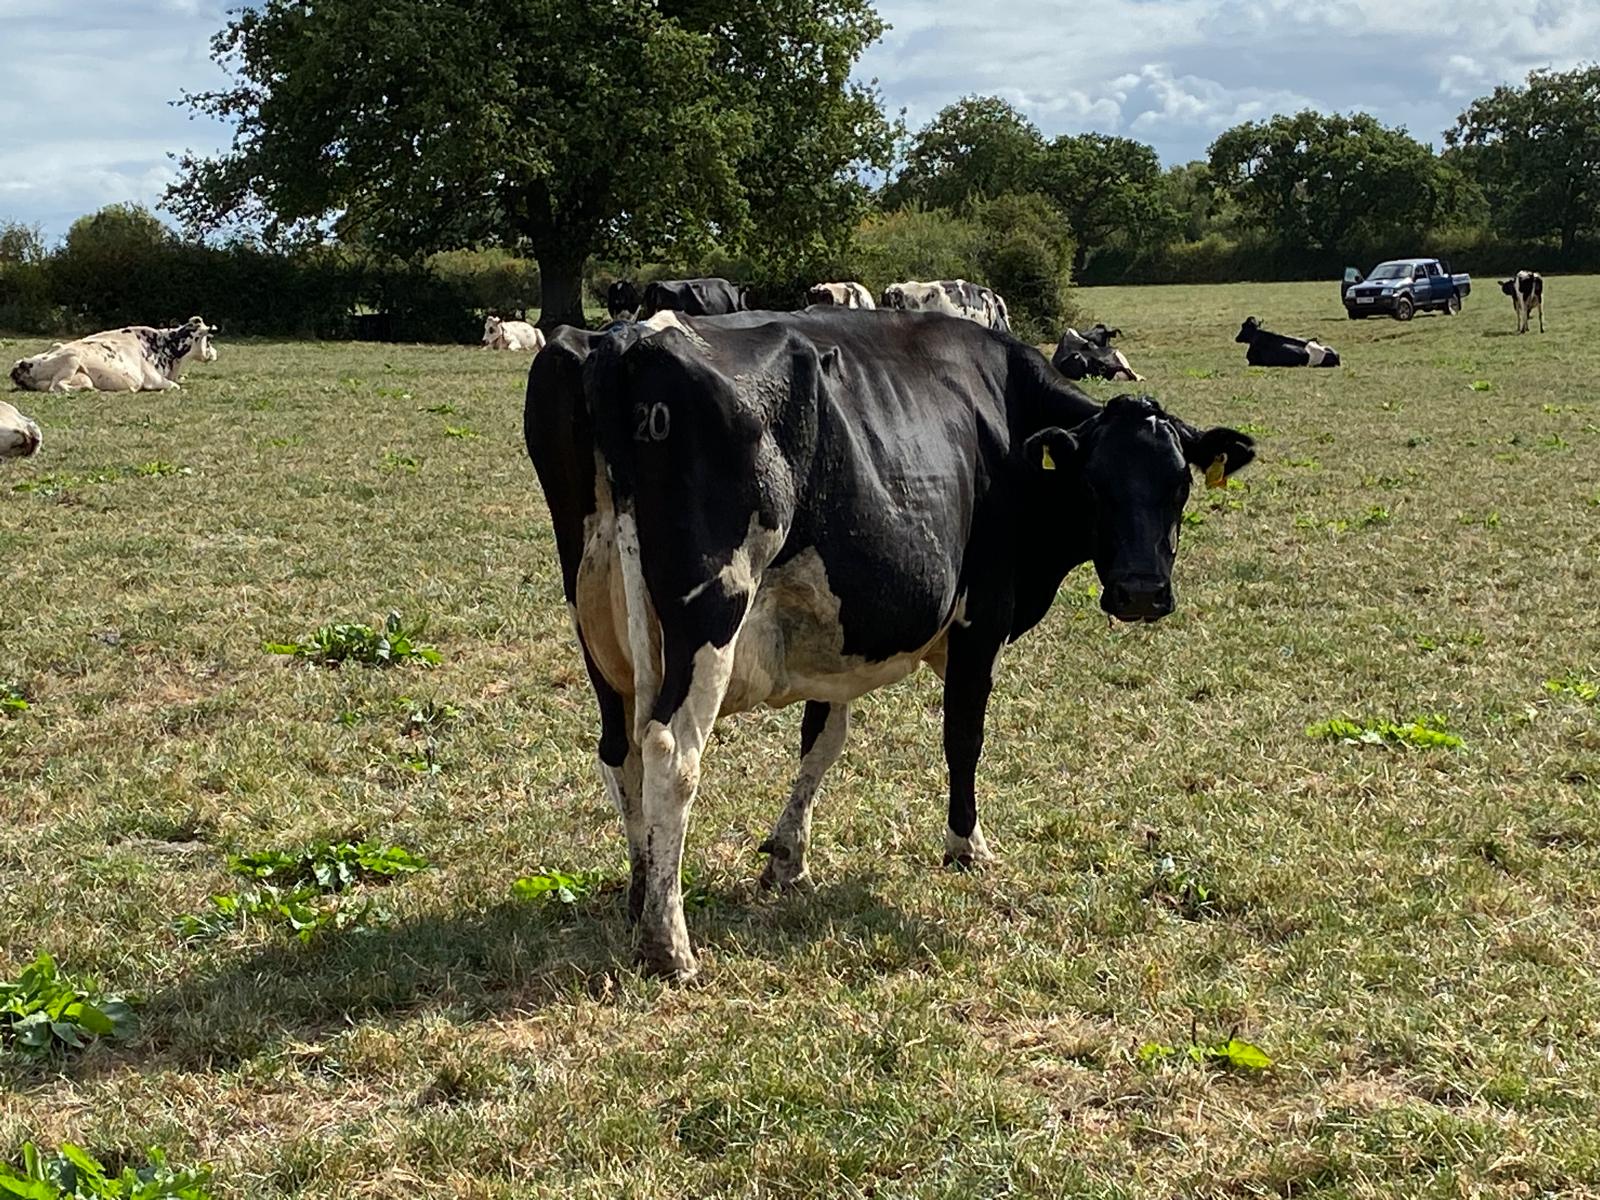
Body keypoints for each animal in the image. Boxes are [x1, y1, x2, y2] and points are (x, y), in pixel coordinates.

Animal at [10, 317, 218, 393]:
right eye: (209, 339)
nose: (216, 353)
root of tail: (22, 363)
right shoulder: (153, 379)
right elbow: (175, 386)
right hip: (72, 357)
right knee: (57, 387)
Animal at [524, 308, 1255, 980]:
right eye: (1095, 484)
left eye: (1180, 483)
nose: (1140, 591)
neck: (1006, 417)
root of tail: (625, 338)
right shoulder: (981, 619)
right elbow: (963, 737)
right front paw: (966, 845)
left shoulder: (834, 635)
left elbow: (822, 740)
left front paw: (787, 859)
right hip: (708, 614)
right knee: (671, 753)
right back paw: (668, 945)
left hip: (594, 620)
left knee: (620, 751)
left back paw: (642, 894)